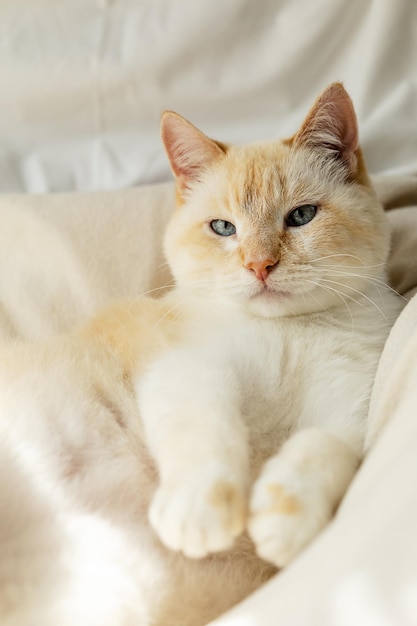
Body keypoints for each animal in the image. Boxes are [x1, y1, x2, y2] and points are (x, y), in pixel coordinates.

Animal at [0, 84, 402, 624]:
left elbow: (321, 450)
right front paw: (201, 510)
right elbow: (206, 426)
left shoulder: (348, 409)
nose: (260, 265)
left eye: (301, 217)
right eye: (223, 228)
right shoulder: (186, 368)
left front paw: (285, 519)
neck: (287, 333)